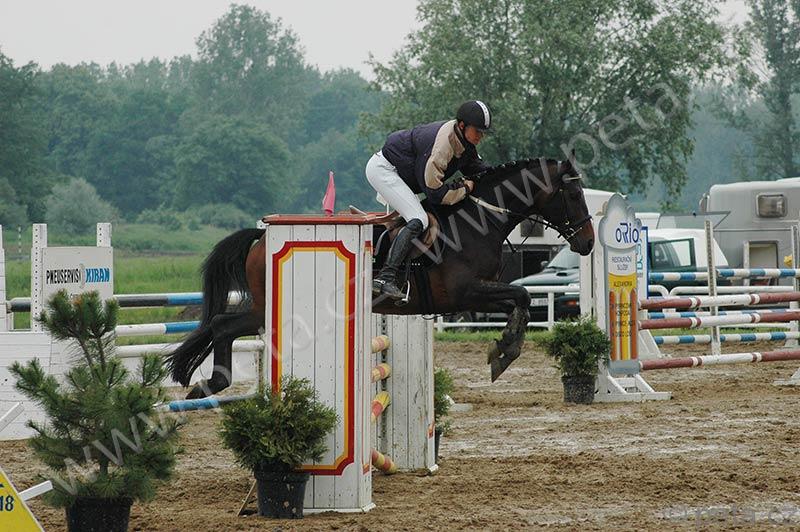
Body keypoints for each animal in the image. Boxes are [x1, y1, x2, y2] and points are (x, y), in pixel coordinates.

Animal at [167, 157, 595, 399]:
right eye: (573, 196)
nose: (588, 243)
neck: (479, 220)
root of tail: (260, 236)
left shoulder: (477, 296)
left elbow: (519, 301)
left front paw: (505, 348)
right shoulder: (464, 294)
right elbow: (521, 297)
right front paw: (503, 352)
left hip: (263, 309)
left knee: (222, 325)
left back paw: (208, 385)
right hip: (269, 308)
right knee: (222, 326)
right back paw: (210, 384)